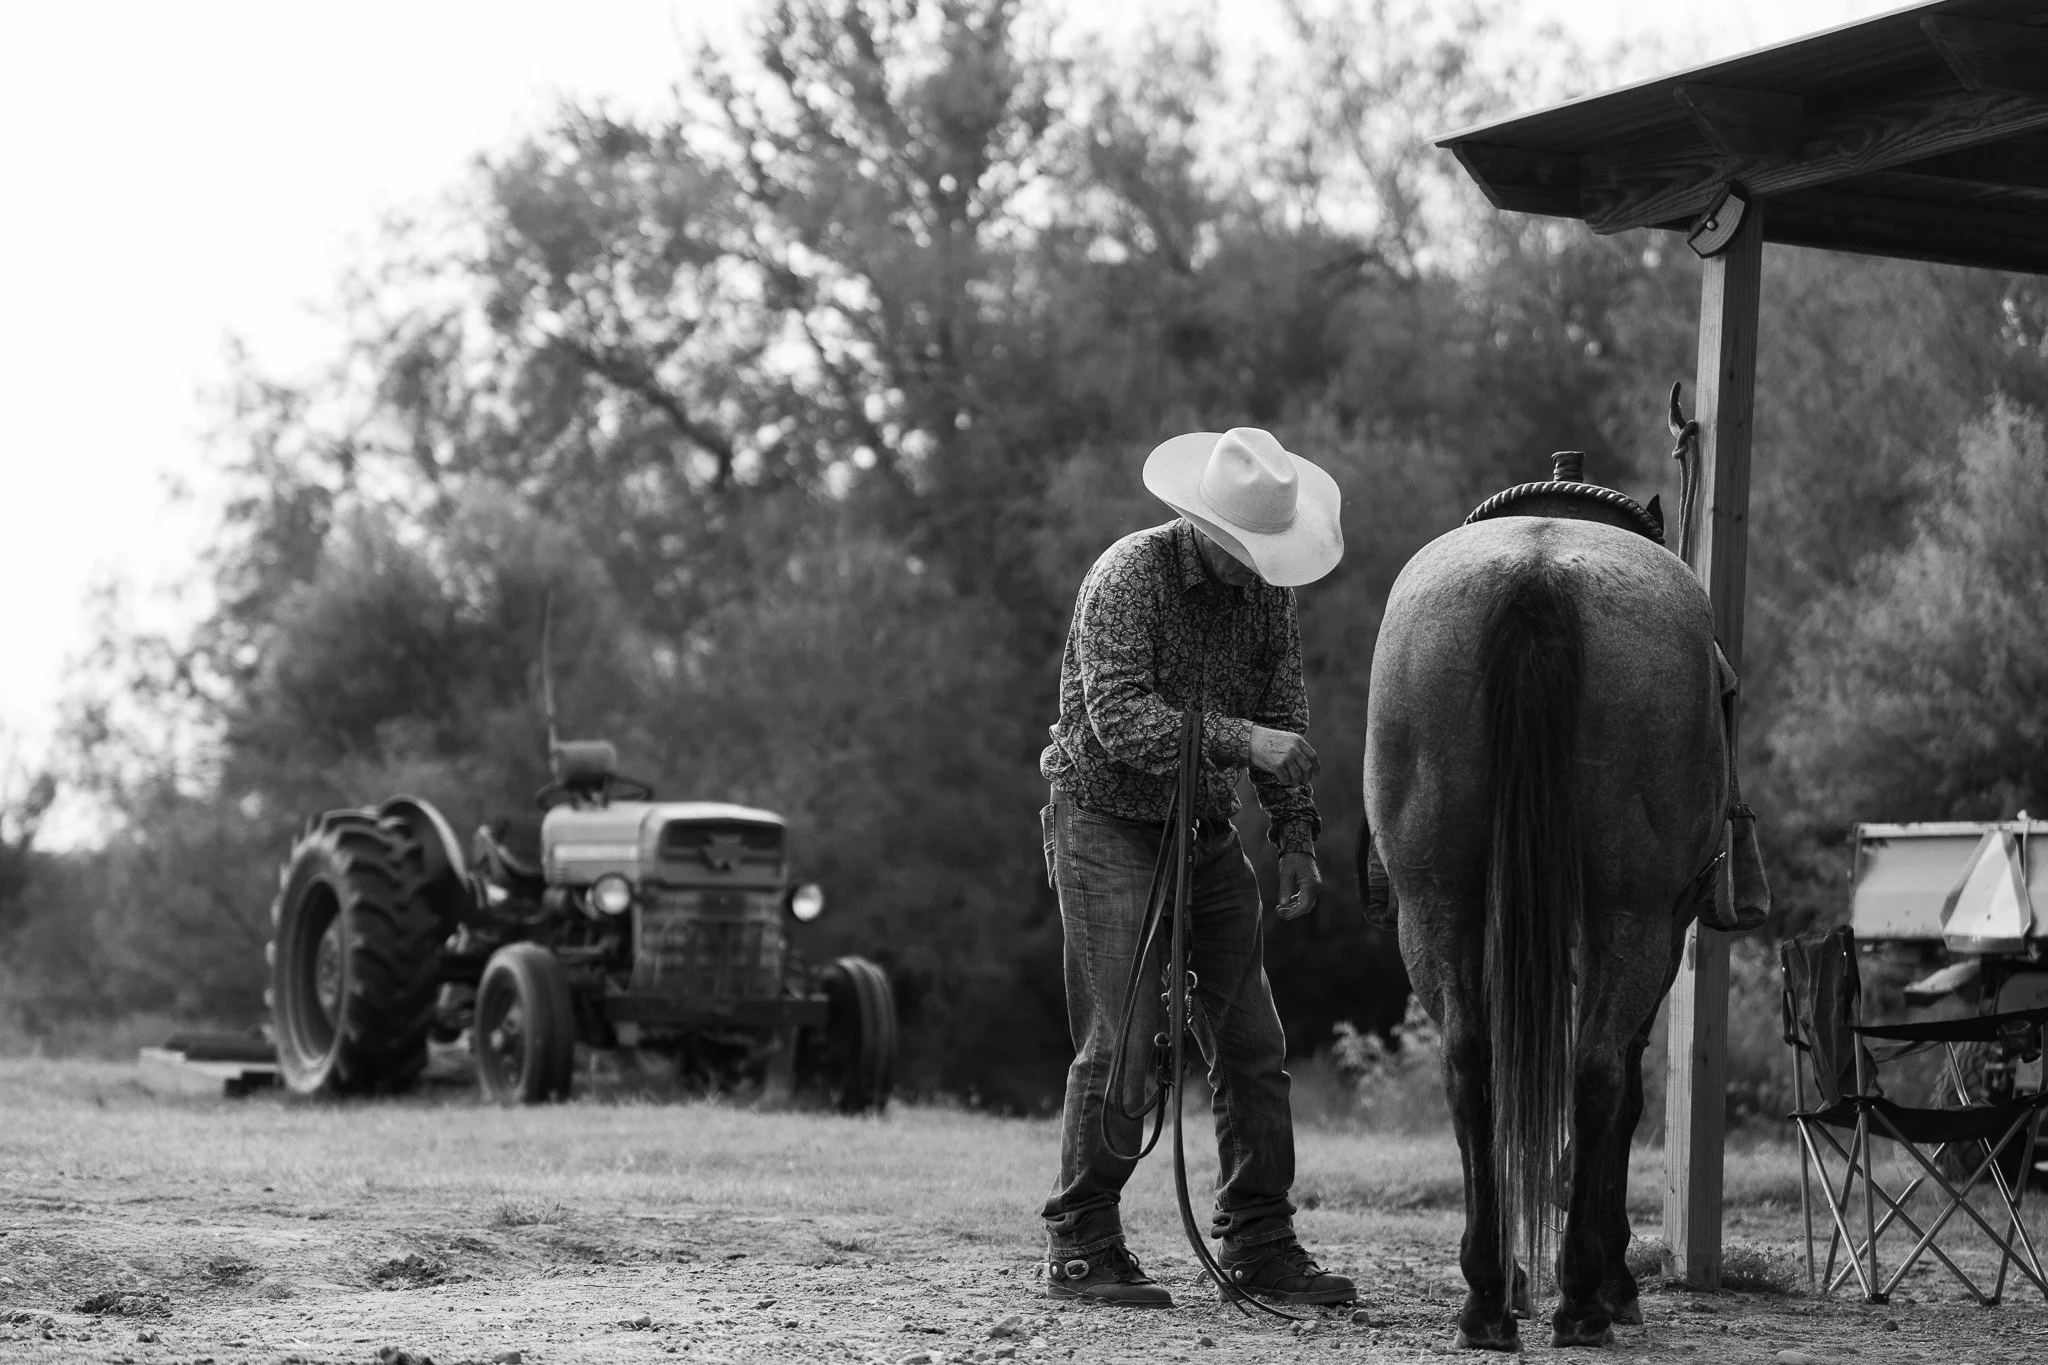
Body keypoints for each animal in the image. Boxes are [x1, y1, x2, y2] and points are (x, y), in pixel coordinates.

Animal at [1361, 506, 1730, 1350]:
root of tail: (1535, 576)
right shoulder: (1653, 935)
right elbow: (1627, 1087)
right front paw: (1615, 1275)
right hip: (1632, 916)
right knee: (1597, 1073)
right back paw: (1584, 1296)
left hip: (1436, 903)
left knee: (1471, 1061)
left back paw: (1489, 1295)